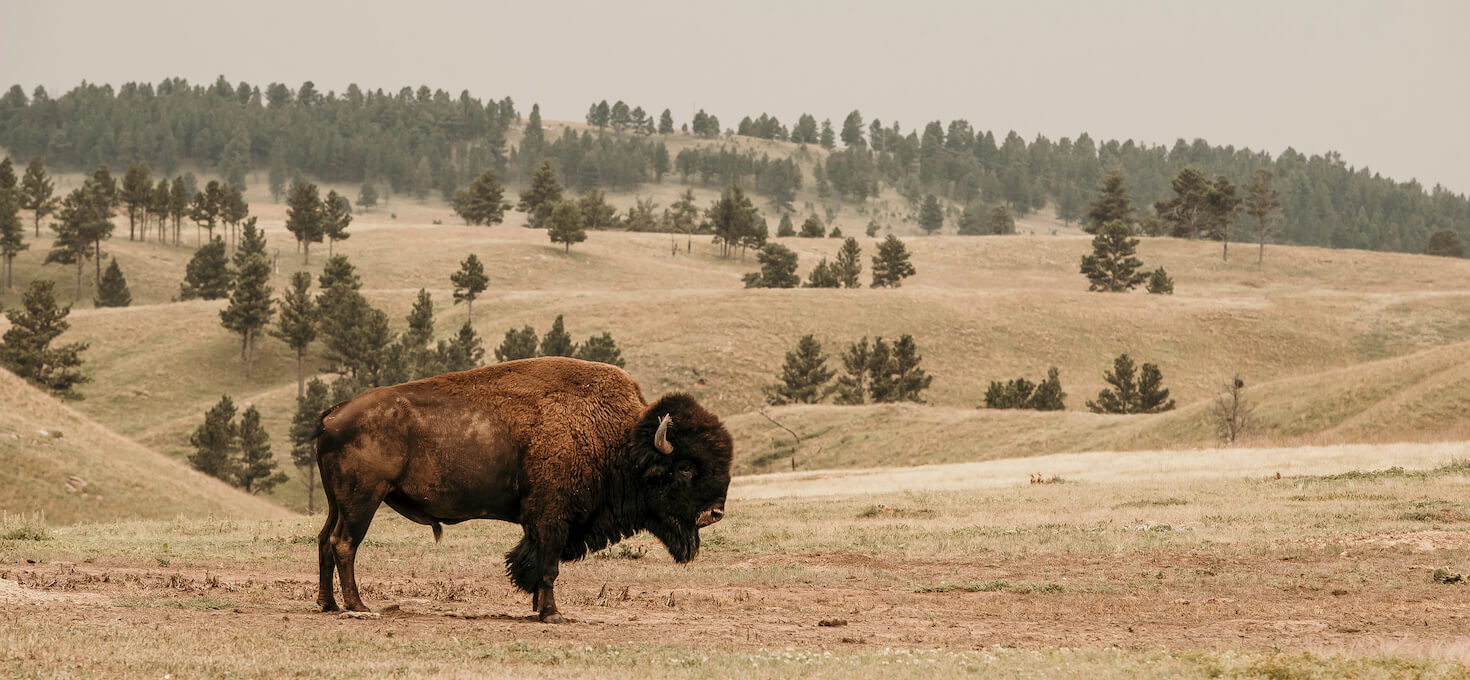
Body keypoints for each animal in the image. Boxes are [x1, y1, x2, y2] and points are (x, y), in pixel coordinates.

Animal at [313, 356, 732, 622]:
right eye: (685, 468)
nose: (715, 513)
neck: (620, 439)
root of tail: (335, 413)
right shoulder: (552, 517)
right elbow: (548, 564)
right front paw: (552, 613)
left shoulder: (543, 521)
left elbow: (534, 561)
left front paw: (537, 606)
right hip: (363, 499)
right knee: (344, 544)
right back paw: (358, 606)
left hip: (338, 502)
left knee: (324, 541)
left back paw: (328, 604)